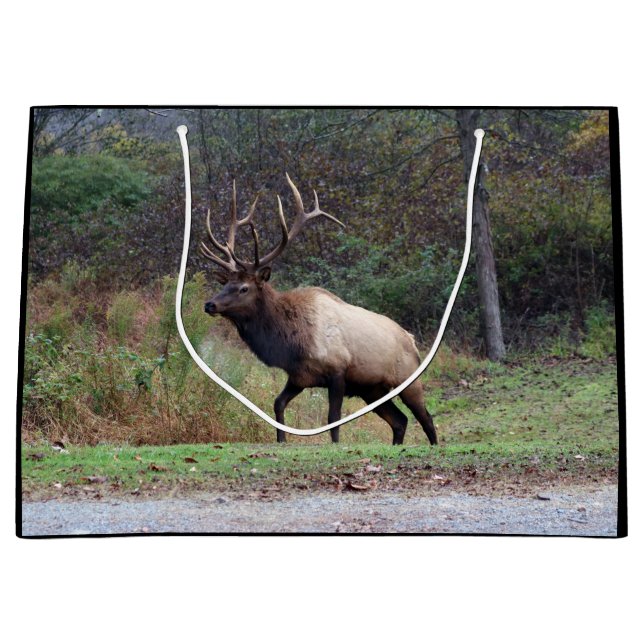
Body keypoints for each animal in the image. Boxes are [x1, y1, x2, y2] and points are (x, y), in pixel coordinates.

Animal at [201, 174, 438, 446]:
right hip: (372, 389)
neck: (291, 342)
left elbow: (333, 417)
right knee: (400, 421)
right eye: (225, 284)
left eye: (243, 288)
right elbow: (278, 404)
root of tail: (412, 340)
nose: (210, 304)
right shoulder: (299, 377)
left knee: (426, 418)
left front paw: (335, 445)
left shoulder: (337, 371)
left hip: (408, 378)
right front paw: (281, 440)